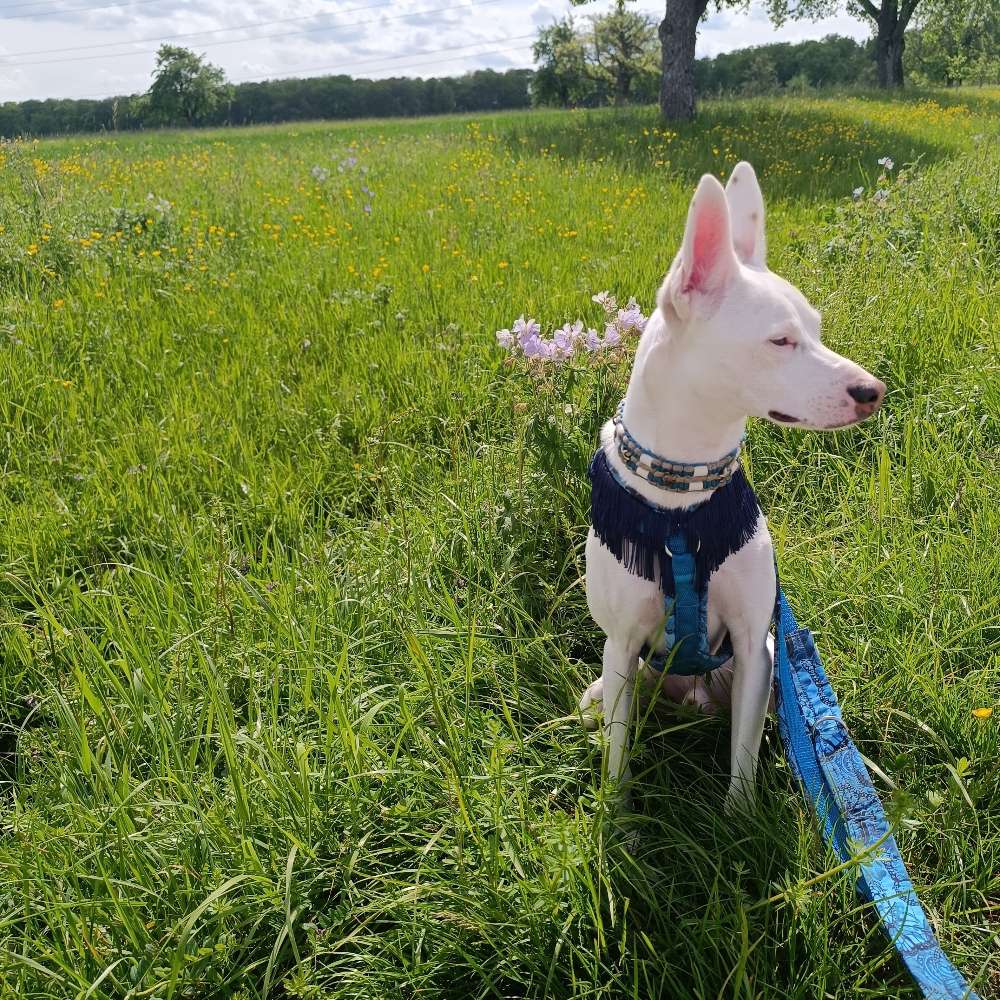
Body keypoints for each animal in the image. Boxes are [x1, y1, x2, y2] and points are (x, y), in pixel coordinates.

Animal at [580, 162, 884, 812]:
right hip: (626, 673)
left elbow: (741, 759)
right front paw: (617, 816)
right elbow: (618, 756)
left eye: (816, 330)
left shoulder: (751, 644)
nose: (874, 391)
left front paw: (740, 820)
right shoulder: (621, 645)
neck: (682, 499)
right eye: (780, 340)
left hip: (762, 667)